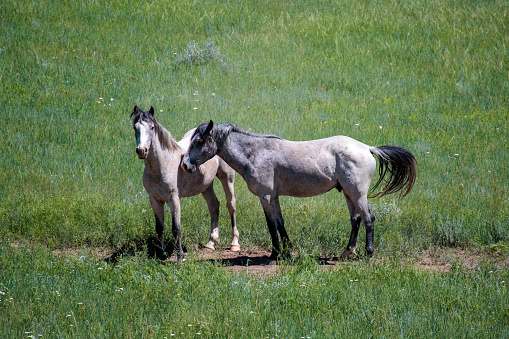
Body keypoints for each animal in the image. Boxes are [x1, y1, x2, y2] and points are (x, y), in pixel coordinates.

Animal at [131, 107, 242, 262]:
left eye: (152, 127)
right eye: (135, 128)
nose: (142, 150)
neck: (162, 164)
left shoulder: (174, 199)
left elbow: (176, 228)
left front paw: (180, 256)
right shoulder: (154, 199)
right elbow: (159, 228)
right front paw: (160, 254)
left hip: (227, 177)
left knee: (231, 205)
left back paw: (234, 244)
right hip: (206, 185)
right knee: (214, 206)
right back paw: (211, 243)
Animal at [183, 121, 416, 262]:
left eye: (200, 140)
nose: (185, 165)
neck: (256, 153)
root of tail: (368, 148)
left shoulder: (265, 196)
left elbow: (271, 225)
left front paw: (275, 253)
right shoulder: (274, 196)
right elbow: (280, 223)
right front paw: (286, 251)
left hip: (358, 194)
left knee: (368, 218)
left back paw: (368, 252)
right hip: (349, 194)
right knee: (356, 219)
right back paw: (347, 251)